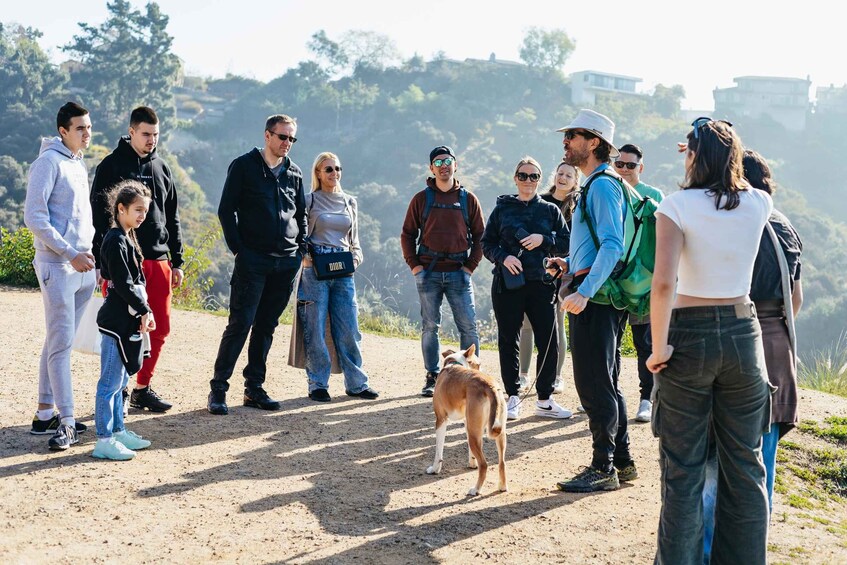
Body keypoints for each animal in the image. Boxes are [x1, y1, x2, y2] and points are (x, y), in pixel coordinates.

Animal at [428, 344, 506, 494]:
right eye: (478, 364)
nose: (482, 369)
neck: (454, 363)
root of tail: (490, 385)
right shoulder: (467, 422)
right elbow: (471, 452)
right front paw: (472, 463)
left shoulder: (440, 420)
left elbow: (438, 452)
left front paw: (435, 469)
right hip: (493, 433)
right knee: (501, 462)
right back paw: (502, 486)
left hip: (474, 434)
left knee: (484, 464)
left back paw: (476, 489)